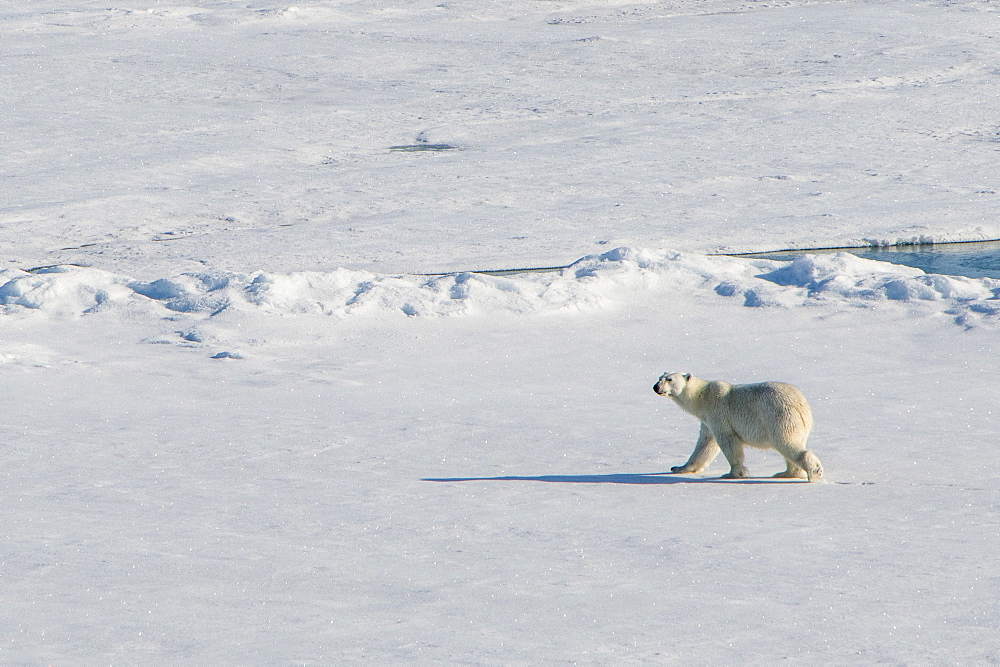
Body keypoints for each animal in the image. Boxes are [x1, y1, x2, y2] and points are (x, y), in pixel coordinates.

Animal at [652, 374, 824, 482]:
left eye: (669, 379)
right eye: (660, 377)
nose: (655, 387)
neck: (703, 397)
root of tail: (801, 406)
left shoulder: (719, 413)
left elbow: (728, 441)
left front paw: (733, 473)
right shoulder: (707, 420)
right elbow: (705, 445)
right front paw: (679, 468)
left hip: (778, 416)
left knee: (786, 443)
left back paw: (814, 472)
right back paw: (785, 473)